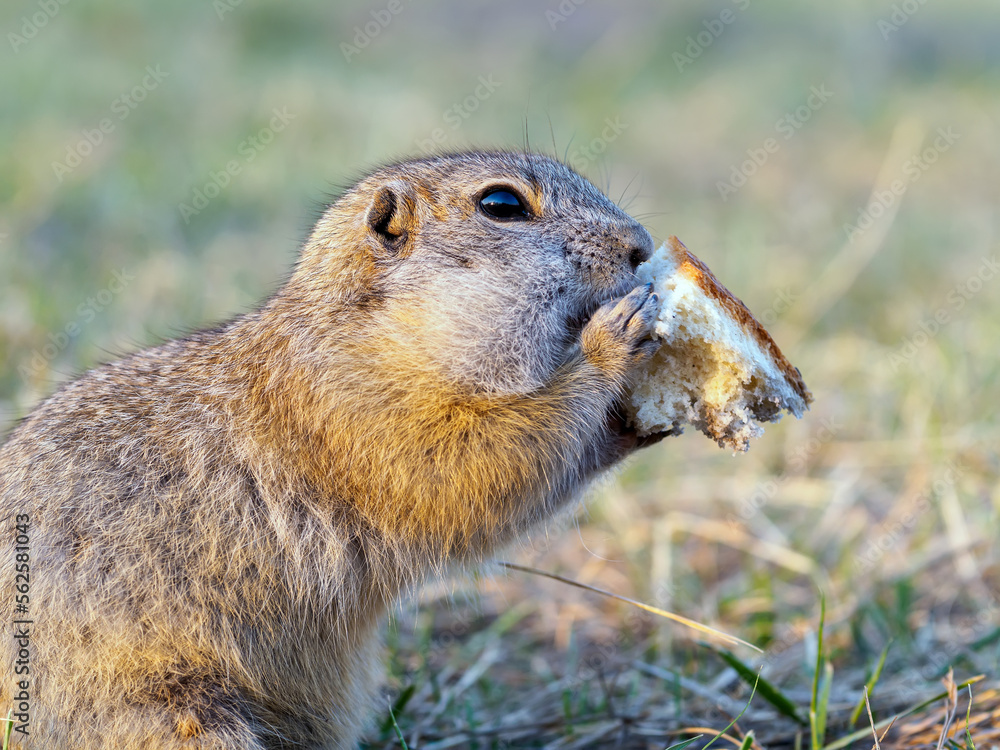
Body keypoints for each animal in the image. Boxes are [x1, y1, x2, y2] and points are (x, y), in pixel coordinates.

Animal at [3, 150, 668, 748]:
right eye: (501, 205)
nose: (641, 246)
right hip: (169, 711)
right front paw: (613, 340)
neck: (380, 333)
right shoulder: (357, 413)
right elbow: (472, 467)